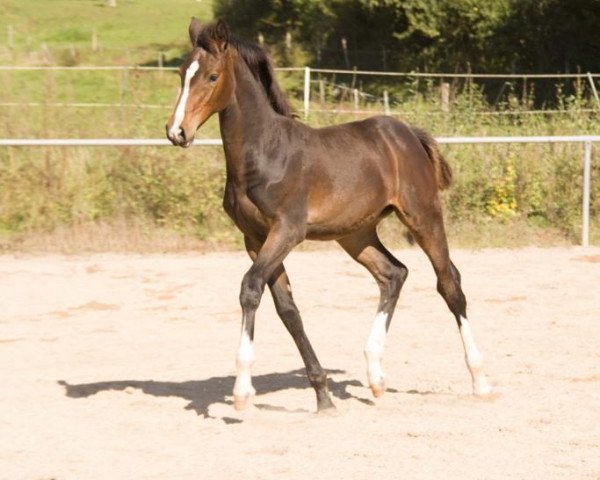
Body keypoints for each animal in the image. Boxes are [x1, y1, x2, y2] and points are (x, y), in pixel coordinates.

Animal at [165, 17, 492, 408]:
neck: (265, 153)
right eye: (182, 73)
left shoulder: (287, 231)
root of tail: (408, 134)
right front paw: (323, 396)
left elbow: (250, 288)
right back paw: (375, 377)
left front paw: (242, 391)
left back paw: (479, 380)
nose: (176, 132)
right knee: (393, 274)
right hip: (356, 234)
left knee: (449, 283)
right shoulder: (255, 239)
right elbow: (287, 308)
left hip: (422, 215)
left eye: (212, 76)